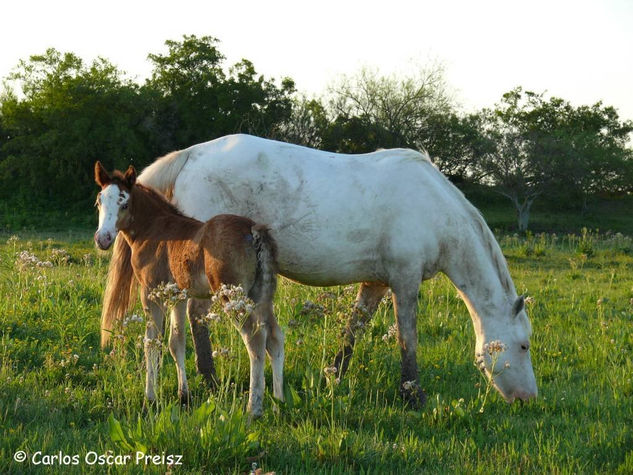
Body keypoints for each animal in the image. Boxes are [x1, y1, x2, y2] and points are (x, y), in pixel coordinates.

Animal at [101, 134, 536, 406]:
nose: (528, 399)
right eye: (524, 346)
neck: (433, 207)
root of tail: (191, 154)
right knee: (197, 318)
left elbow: (355, 328)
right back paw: (209, 380)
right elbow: (407, 338)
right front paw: (412, 395)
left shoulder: (376, 282)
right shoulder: (405, 281)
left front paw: (333, 376)